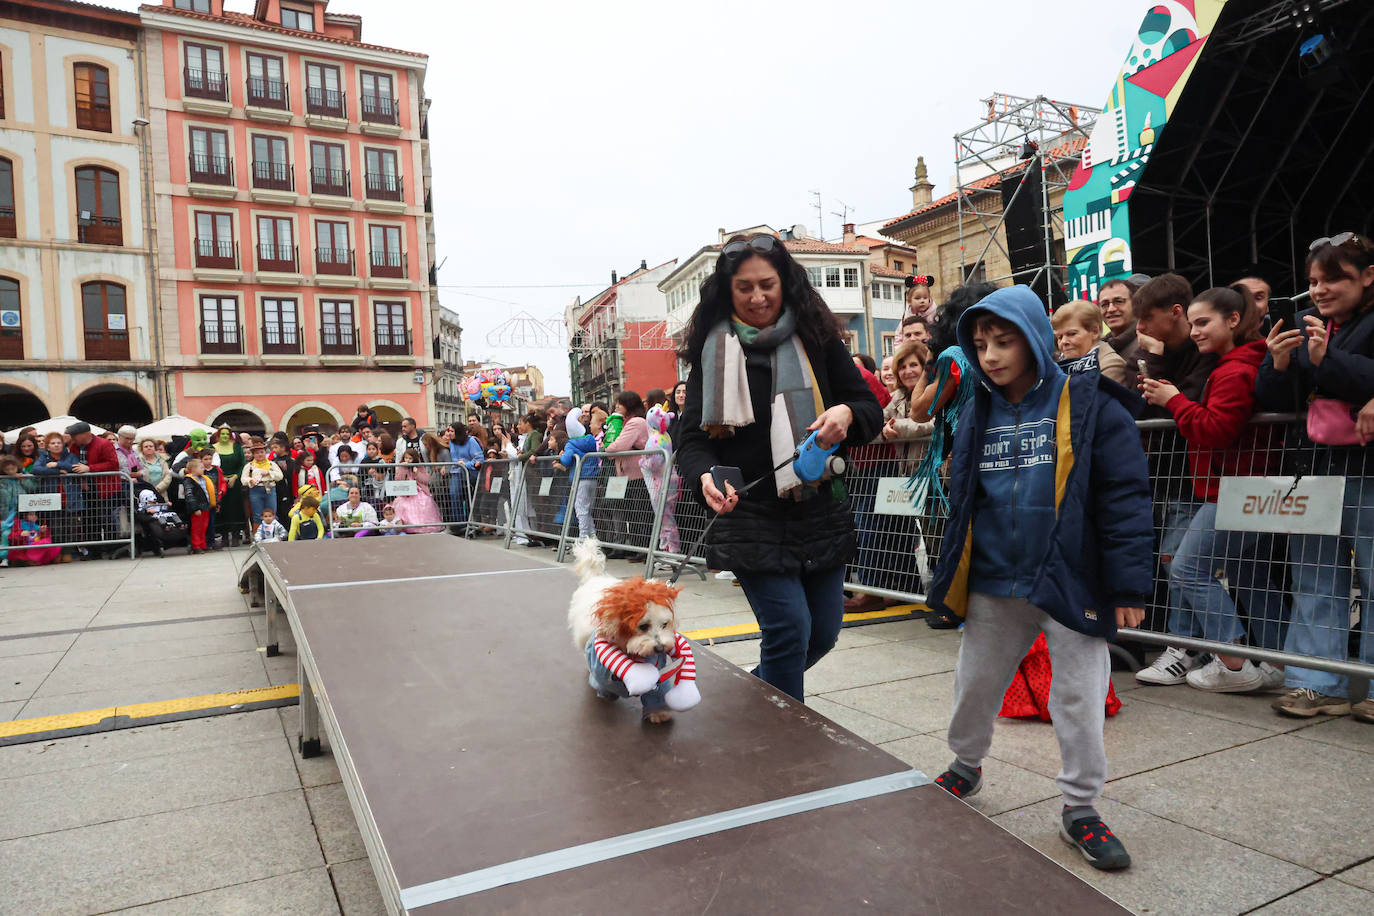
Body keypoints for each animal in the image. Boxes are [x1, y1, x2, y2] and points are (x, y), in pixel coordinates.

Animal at [566, 538, 697, 725]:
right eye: (643, 626)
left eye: (665, 624)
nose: (660, 648)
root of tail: (596, 577)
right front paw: (606, 693)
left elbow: (657, 691)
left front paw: (658, 714)